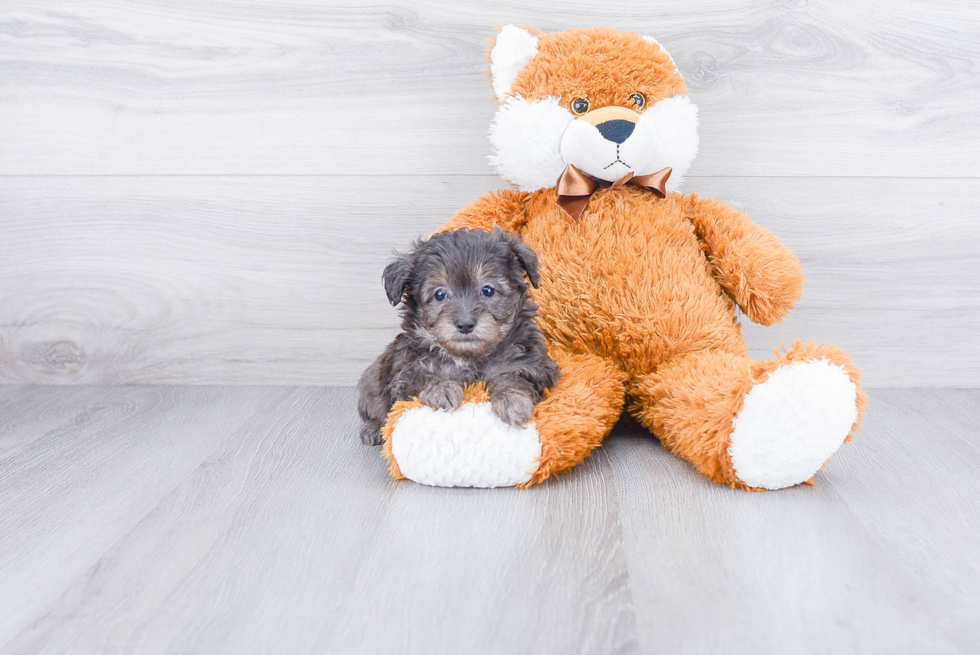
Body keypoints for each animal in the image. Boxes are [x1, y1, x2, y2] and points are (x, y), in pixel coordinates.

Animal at [358, 228, 560, 448]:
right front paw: (442, 388)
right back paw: (372, 430)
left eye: (487, 290)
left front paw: (511, 401)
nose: (465, 324)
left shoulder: (536, 367)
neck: (468, 357)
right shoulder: (404, 374)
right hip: (370, 383)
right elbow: (421, 376)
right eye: (440, 294)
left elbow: (510, 377)